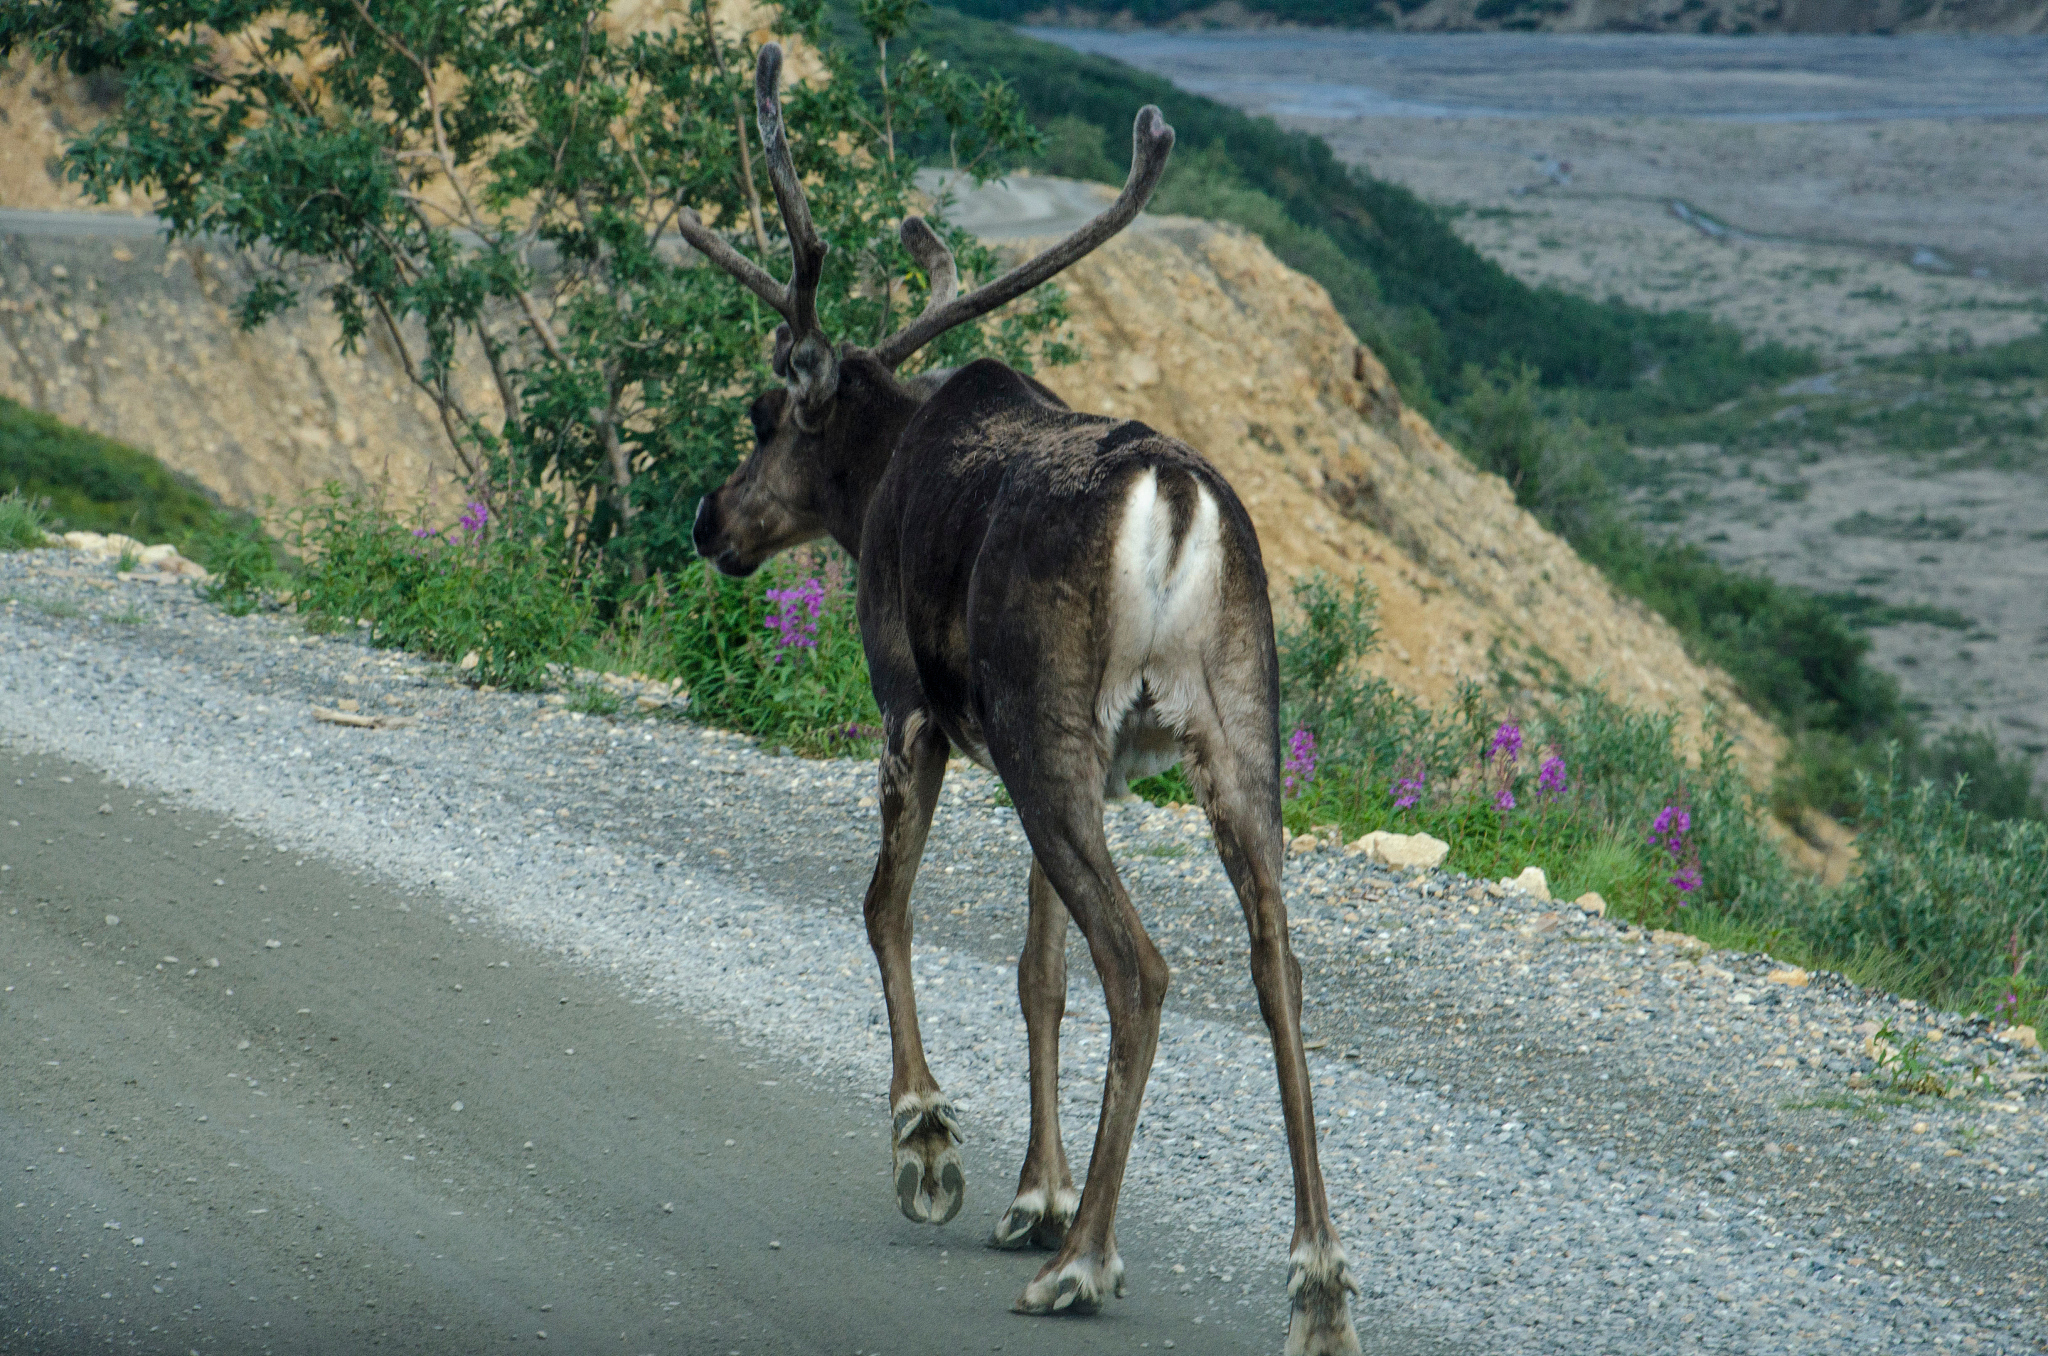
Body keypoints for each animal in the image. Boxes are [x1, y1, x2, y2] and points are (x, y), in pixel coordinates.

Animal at [680, 43, 1361, 1356]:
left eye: (760, 415)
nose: (710, 520)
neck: (873, 484)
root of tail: (1172, 500)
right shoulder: (1075, 760)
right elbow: (1035, 973)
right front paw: (1031, 1195)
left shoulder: (913, 708)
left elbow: (884, 908)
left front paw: (931, 1144)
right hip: (1227, 732)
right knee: (1274, 966)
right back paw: (1313, 1282)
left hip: (1057, 731)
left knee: (1139, 968)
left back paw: (1084, 1264)